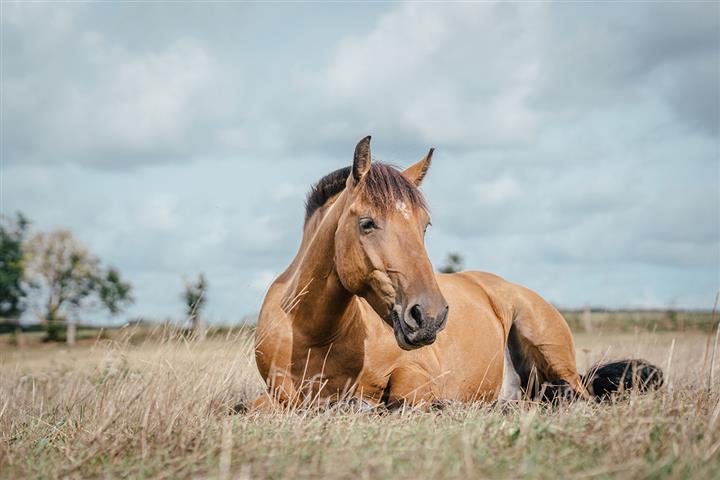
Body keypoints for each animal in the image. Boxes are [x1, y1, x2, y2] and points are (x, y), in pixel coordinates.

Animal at [253, 137, 664, 410]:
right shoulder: (276, 393)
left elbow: (394, 402)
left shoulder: (418, 375)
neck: (315, 334)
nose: (429, 316)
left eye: (425, 226)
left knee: (576, 397)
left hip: (549, 350)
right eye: (367, 223)